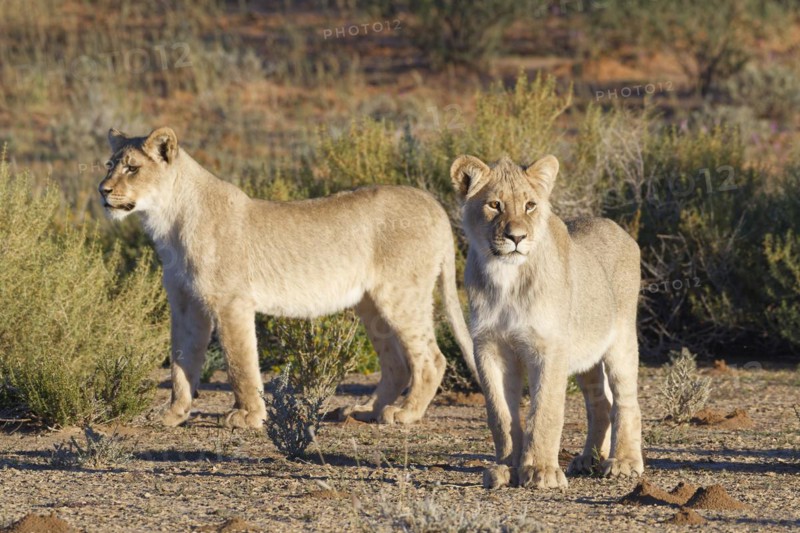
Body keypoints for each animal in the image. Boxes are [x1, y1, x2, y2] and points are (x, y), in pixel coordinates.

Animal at [98, 126, 476, 428]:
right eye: (109, 165)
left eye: (132, 168)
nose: (103, 190)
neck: (168, 222)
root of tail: (434, 204)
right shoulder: (186, 304)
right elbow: (181, 362)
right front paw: (173, 414)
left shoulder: (231, 302)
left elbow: (240, 362)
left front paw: (248, 416)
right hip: (370, 303)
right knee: (396, 362)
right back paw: (364, 410)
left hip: (401, 295)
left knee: (431, 358)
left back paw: (405, 413)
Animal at [450, 154, 644, 489]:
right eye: (495, 205)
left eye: (530, 205)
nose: (516, 237)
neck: (506, 277)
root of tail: (615, 226)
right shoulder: (490, 347)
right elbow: (500, 414)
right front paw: (506, 468)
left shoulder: (549, 348)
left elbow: (545, 411)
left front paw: (541, 471)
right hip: (585, 356)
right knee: (600, 404)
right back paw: (588, 460)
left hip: (620, 341)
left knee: (626, 402)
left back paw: (623, 463)